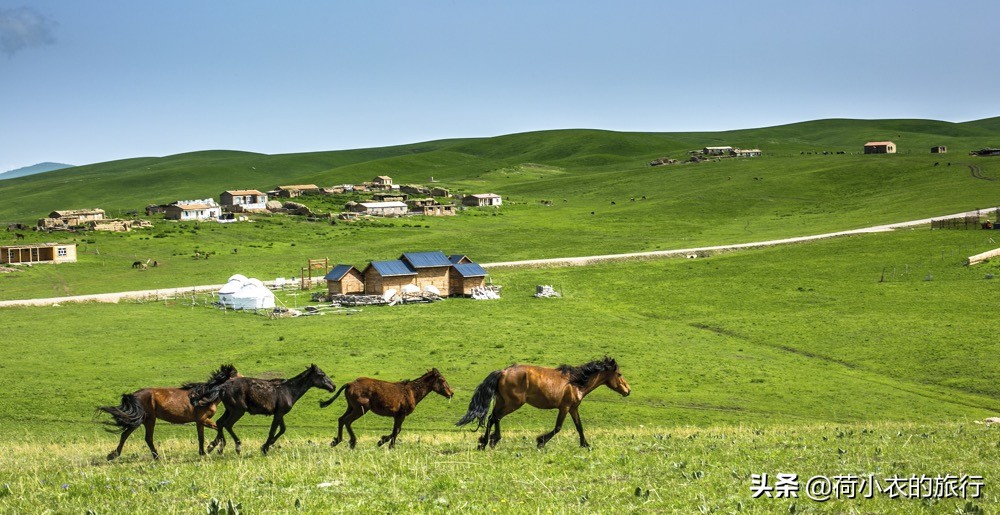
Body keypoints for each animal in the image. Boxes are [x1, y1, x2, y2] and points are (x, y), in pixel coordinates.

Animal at [96, 364, 241, 462]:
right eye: (236, 375)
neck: (204, 396)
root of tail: (134, 395)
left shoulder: (199, 422)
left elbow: (201, 437)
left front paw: (204, 452)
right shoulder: (203, 420)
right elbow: (218, 428)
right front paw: (212, 447)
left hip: (144, 420)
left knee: (127, 435)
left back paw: (113, 455)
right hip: (148, 419)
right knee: (145, 437)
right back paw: (156, 457)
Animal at [194, 362, 336, 456]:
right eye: (321, 375)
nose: (333, 387)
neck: (289, 390)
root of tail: (223, 386)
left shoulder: (279, 413)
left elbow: (282, 429)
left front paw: (268, 444)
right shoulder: (278, 414)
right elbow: (272, 431)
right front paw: (264, 448)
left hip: (229, 410)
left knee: (220, 423)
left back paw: (214, 447)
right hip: (238, 411)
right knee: (227, 424)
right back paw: (236, 447)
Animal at [320, 368, 454, 450]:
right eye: (442, 380)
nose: (451, 393)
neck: (411, 392)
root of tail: (349, 384)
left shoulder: (397, 416)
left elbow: (397, 430)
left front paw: (382, 441)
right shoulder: (401, 415)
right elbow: (396, 431)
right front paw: (387, 444)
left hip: (351, 407)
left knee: (341, 419)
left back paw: (336, 441)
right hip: (361, 408)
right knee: (347, 421)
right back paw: (352, 442)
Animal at [458, 356, 628, 450]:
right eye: (619, 374)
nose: (628, 390)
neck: (576, 382)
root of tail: (503, 372)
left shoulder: (573, 408)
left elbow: (579, 427)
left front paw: (585, 445)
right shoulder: (565, 407)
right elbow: (558, 427)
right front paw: (540, 442)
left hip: (503, 401)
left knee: (493, 418)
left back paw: (486, 442)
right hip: (513, 403)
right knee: (495, 417)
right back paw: (489, 441)